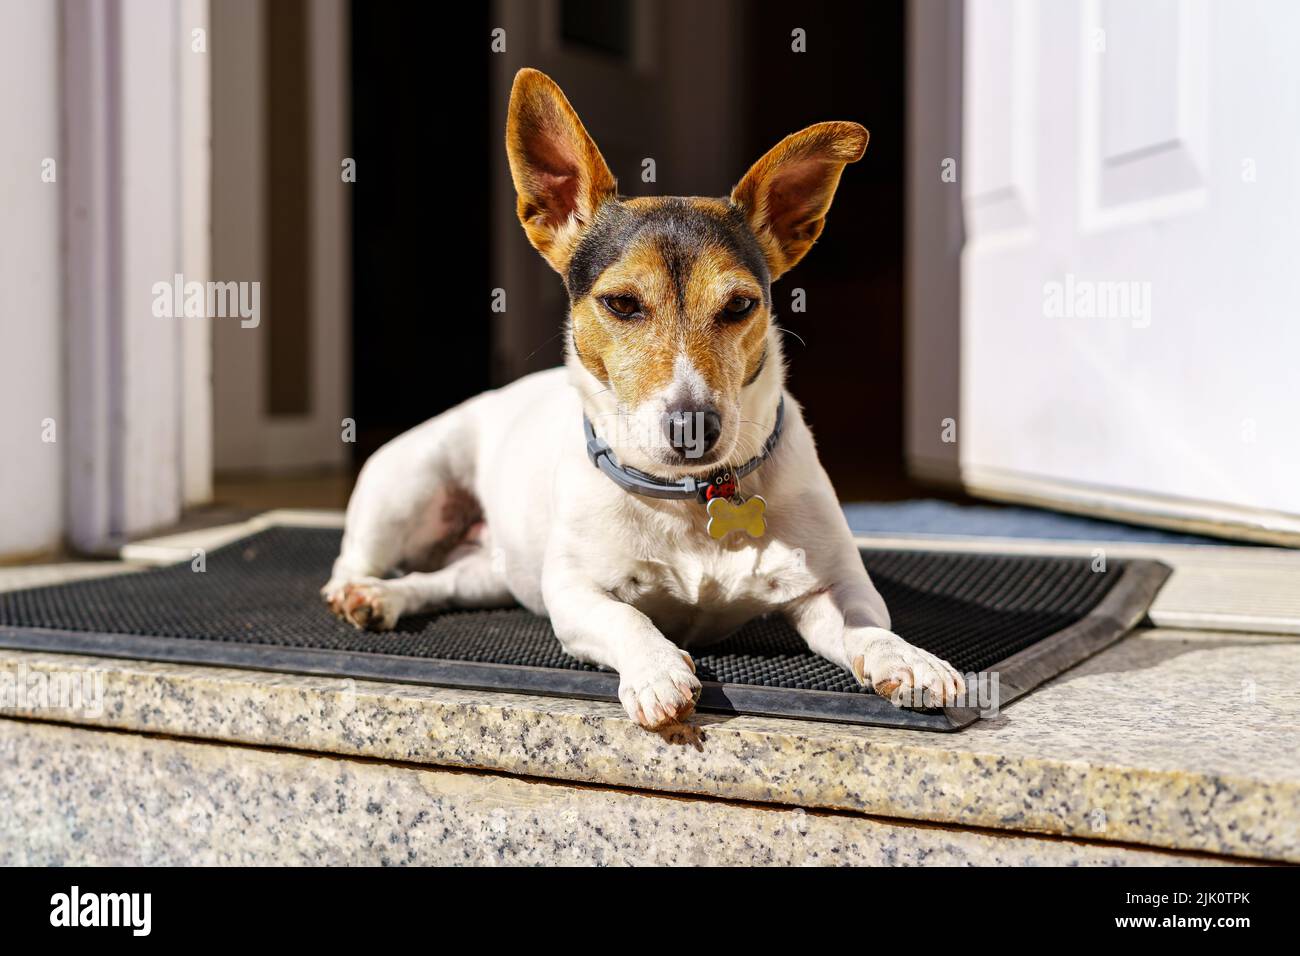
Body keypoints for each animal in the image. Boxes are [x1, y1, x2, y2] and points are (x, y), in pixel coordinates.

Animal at [319, 69, 961, 733]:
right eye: (622, 303)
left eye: (740, 305)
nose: (692, 426)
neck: (692, 497)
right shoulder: (573, 594)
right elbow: (626, 617)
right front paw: (656, 669)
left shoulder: (831, 588)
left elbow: (866, 624)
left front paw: (906, 657)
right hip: (407, 484)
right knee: (355, 559)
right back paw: (361, 591)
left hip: (490, 572)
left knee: (439, 583)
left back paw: (392, 596)